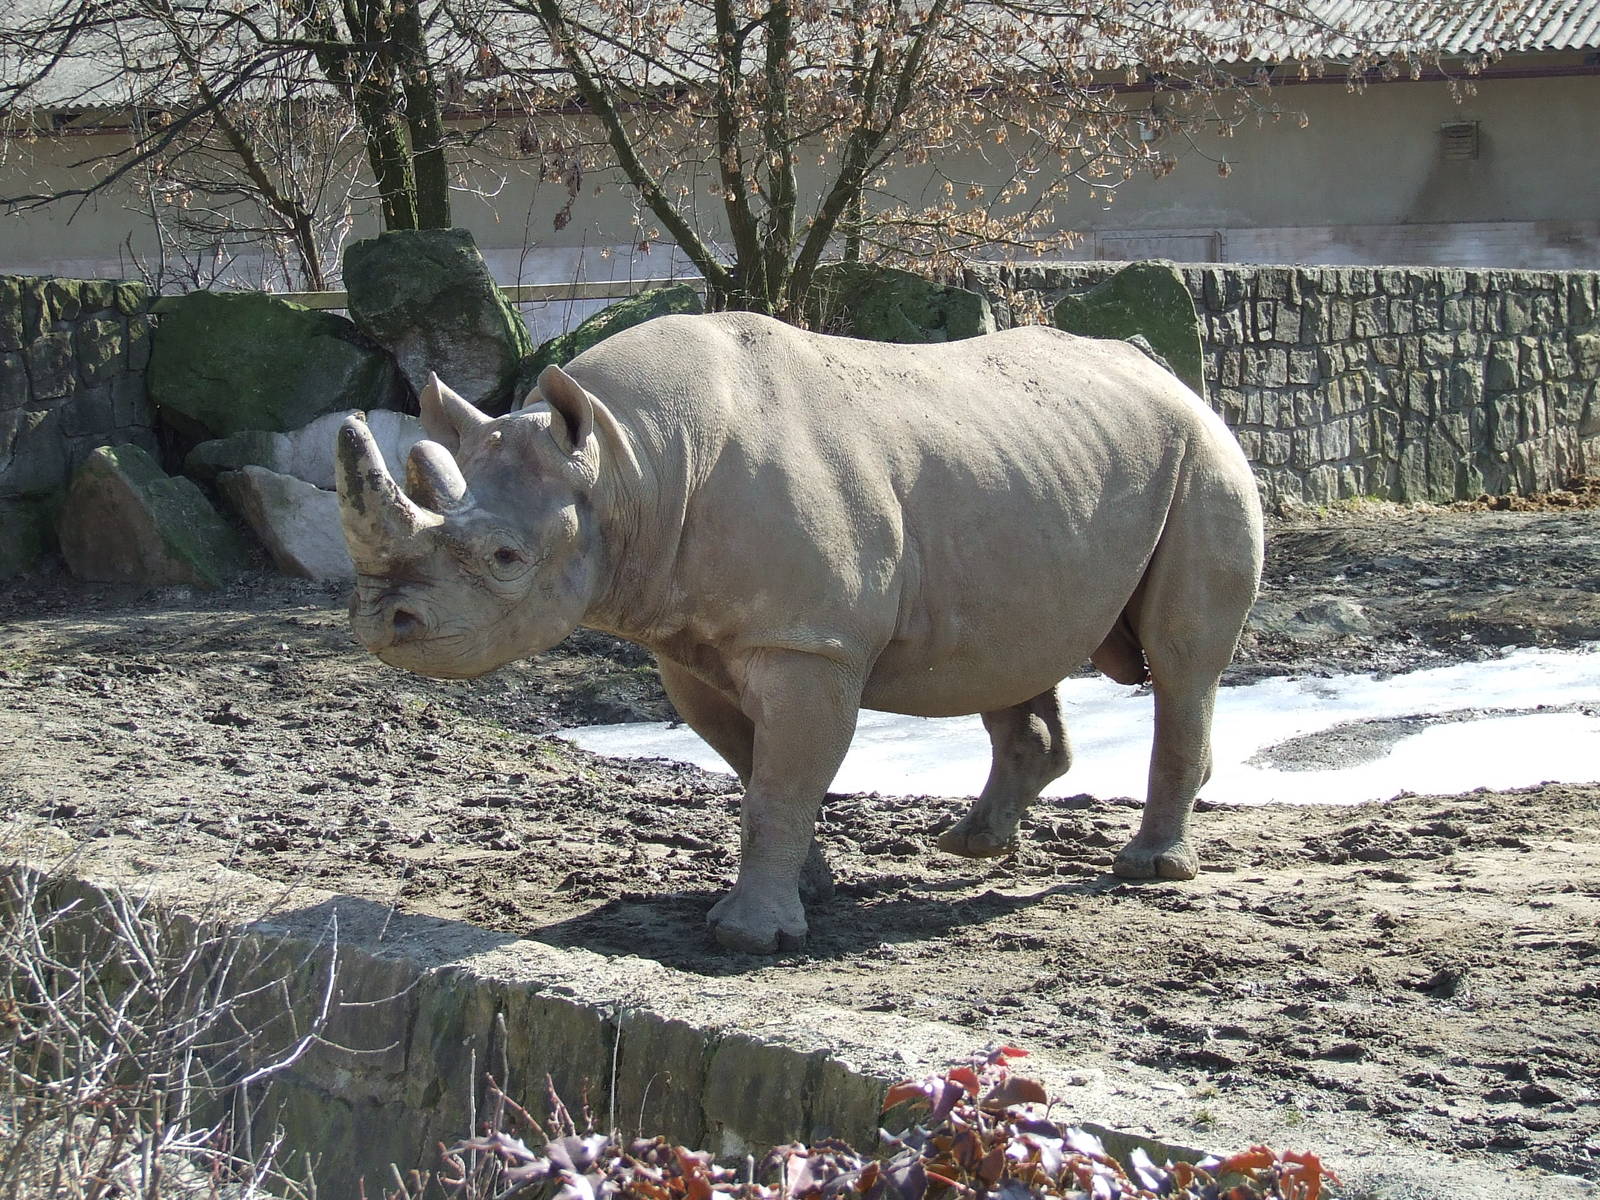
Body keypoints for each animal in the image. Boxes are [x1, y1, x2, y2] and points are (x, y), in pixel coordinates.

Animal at [336, 312, 1264, 953]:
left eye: (505, 558)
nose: (385, 622)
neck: (631, 463)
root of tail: (1171, 375)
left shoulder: (807, 643)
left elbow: (782, 779)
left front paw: (750, 938)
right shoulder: (689, 642)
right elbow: (758, 769)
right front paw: (811, 888)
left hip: (1203, 456)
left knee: (1183, 660)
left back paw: (1149, 870)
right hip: (1038, 470)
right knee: (1010, 648)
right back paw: (972, 845)